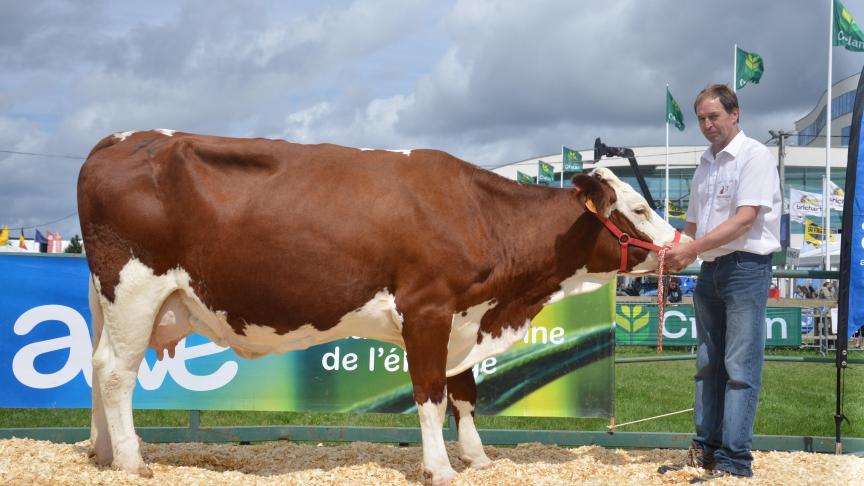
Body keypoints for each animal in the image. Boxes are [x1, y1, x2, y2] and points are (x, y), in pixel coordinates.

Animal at [79, 129, 688, 482]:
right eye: (638, 207)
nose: (682, 245)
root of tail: (118, 140)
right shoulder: (428, 310)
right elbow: (430, 397)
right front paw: (439, 467)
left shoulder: (464, 317)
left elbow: (464, 394)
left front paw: (478, 458)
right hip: (135, 289)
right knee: (116, 372)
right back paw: (131, 461)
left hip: (116, 298)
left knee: (97, 365)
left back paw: (103, 453)